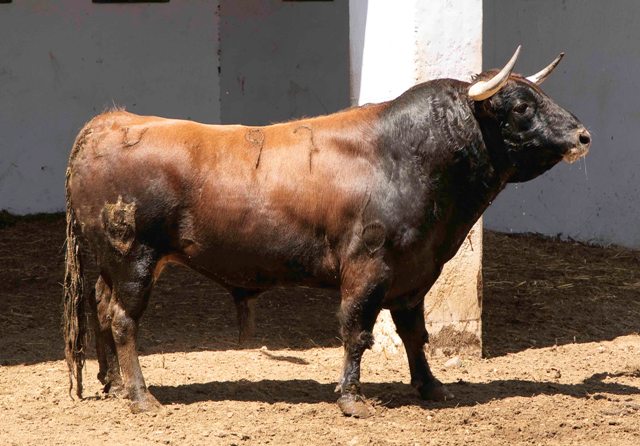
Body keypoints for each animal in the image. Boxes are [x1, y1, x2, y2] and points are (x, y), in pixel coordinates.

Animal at [63, 47, 592, 416]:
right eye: (520, 106)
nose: (583, 135)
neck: (406, 157)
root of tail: (110, 122)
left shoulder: (414, 274)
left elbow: (414, 334)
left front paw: (430, 387)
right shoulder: (367, 269)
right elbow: (356, 331)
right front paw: (353, 399)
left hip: (115, 266)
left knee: (102, 310)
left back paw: (114, 384)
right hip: (135, 259)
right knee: (122, 320)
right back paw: (140, 396)